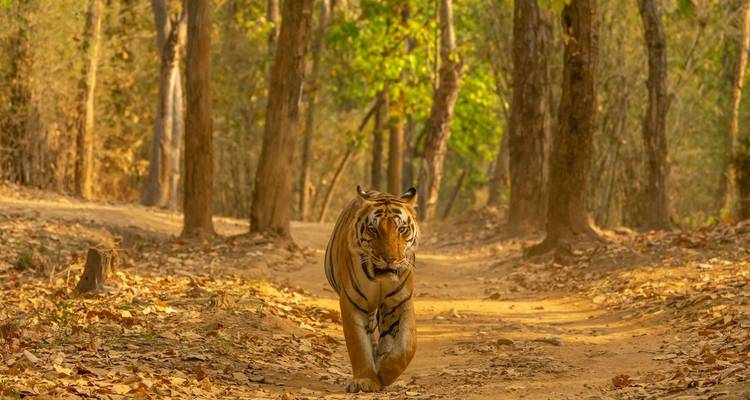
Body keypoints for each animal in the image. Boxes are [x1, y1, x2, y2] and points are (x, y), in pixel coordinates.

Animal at [324, 185, 419, 393]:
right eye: (373, 230)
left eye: (402, 229)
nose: (390, 259)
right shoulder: (352, 302)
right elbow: (358, 344)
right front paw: (366, 380)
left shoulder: (402, 301)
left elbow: (407, 346)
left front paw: (385, 374)